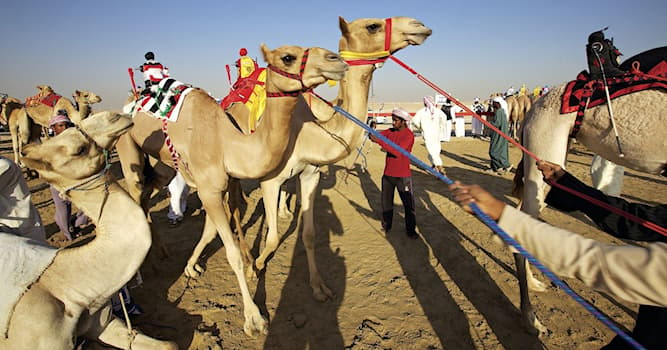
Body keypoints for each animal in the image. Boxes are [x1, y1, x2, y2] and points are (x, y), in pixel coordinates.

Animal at [115, 43, 348, 336]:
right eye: (287, 57)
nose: (336, 59)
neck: (227, 141)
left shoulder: (220, 185)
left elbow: (213, 228)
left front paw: (191, 267)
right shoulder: (209, 189)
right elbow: (232, 252)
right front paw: (254, 319)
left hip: (165, 163)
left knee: (148, 193)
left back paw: (161, 252)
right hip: (126, 146)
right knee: (135, 194)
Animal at [183, 15, 434, 300]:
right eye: (372, 26)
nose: (419, 25)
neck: (308, 132)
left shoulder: (310, 175)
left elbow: (310, 235)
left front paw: (318, 286)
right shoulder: (270, 180)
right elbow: (273, 237)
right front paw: (255, 267)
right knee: (232, 206)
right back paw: (232, 258)